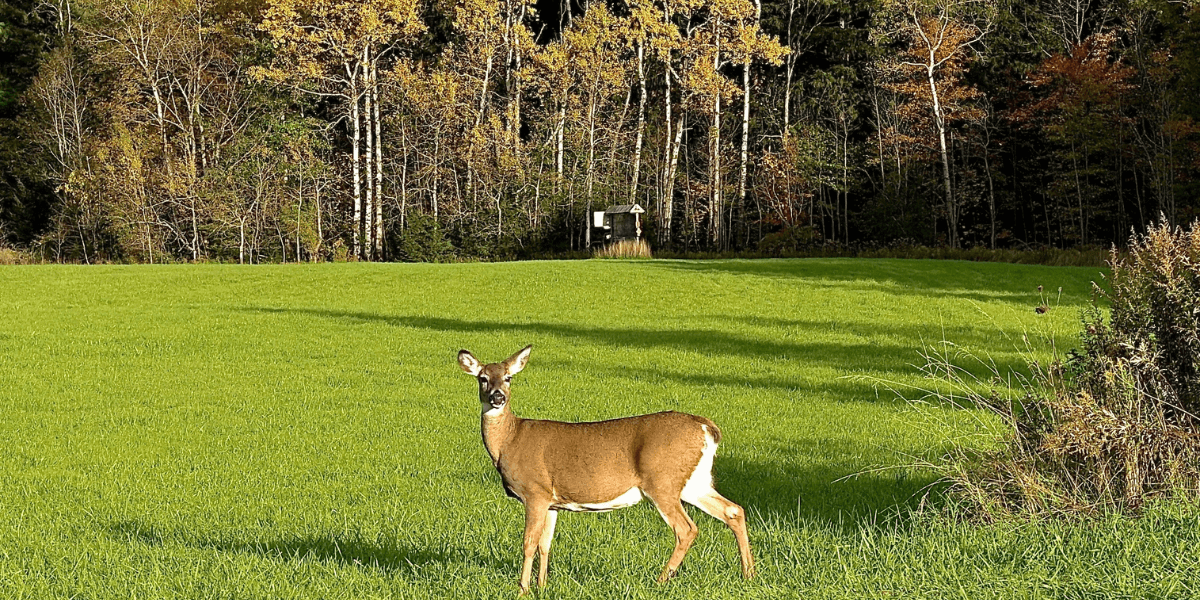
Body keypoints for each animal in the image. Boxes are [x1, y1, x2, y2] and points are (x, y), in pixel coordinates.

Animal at [457, 345, 754, 594]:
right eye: (483, 378)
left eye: (508, 377)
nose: (497, 397)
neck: (510, 439)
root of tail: (707, 427)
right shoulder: (552, 501)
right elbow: (545, 543)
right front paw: (542, 586)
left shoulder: (535, 491)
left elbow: (529, 543)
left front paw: (523, 589)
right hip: (694, 480)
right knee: (733, 510)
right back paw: (748, 574)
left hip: (662, 481)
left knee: (687, 529)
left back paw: (659, 582)